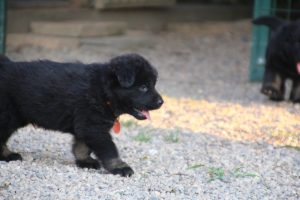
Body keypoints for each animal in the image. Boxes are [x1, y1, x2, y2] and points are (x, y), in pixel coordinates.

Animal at [0, 53, 163, 177]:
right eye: (143, 87)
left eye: (153, 85)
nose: (161, 102)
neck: (103, 91)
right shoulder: (94, 126)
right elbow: (109, 149)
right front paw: (119, 166)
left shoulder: (86, 124)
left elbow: (82, 145)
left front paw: (85, 161)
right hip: (8, 116)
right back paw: (7, 155)